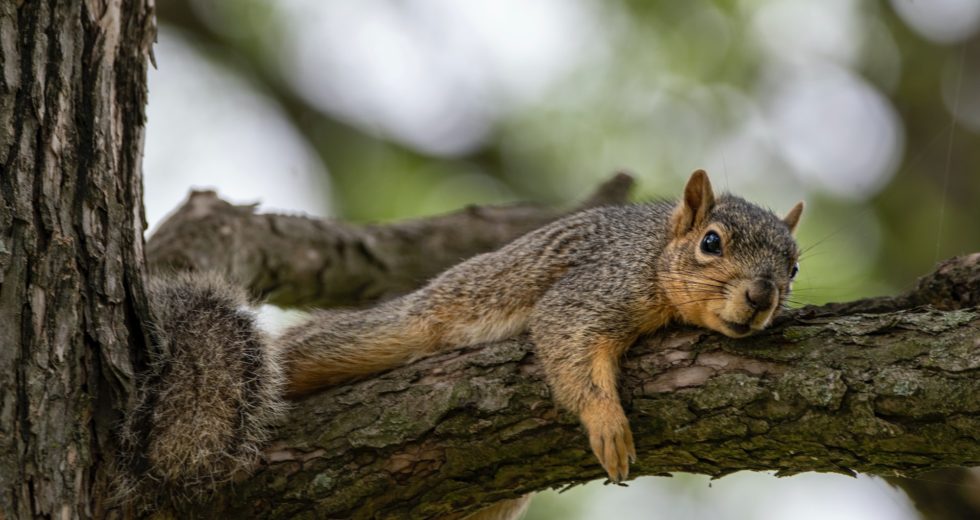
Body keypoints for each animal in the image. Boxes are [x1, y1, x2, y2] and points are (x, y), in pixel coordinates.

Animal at [122, 170, 803, 514]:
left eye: (794, 267)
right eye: (711, 242)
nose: (761, 297)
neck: (657, 253)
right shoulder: (598, 286)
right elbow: (566, 335)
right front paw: (607, 423)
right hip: (404, 326)